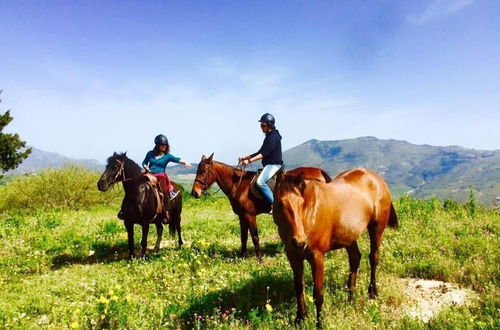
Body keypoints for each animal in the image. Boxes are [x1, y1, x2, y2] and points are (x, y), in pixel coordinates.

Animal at [189, 153, 330, 260]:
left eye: (203, 171)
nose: (195, 192)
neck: (238, 185)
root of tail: (319, 172)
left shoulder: (250, 215)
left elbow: (254, 236)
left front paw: (259, 258)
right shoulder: (242, 216)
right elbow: (244, 236)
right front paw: (243, 256)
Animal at [274, 169, 398, 326]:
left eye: (301, 203)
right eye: (280, 203)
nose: (299, 242)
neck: (309, 213)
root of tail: (377, 179)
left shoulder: (317, 257)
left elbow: (318, 294)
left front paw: (319, 323)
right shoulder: (293, 255)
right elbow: (298, 287)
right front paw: (300, 318)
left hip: (376, 229)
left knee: (373, 258)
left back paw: (372, 292)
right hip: (349, 236)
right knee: (355, 258)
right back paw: (350, 295)